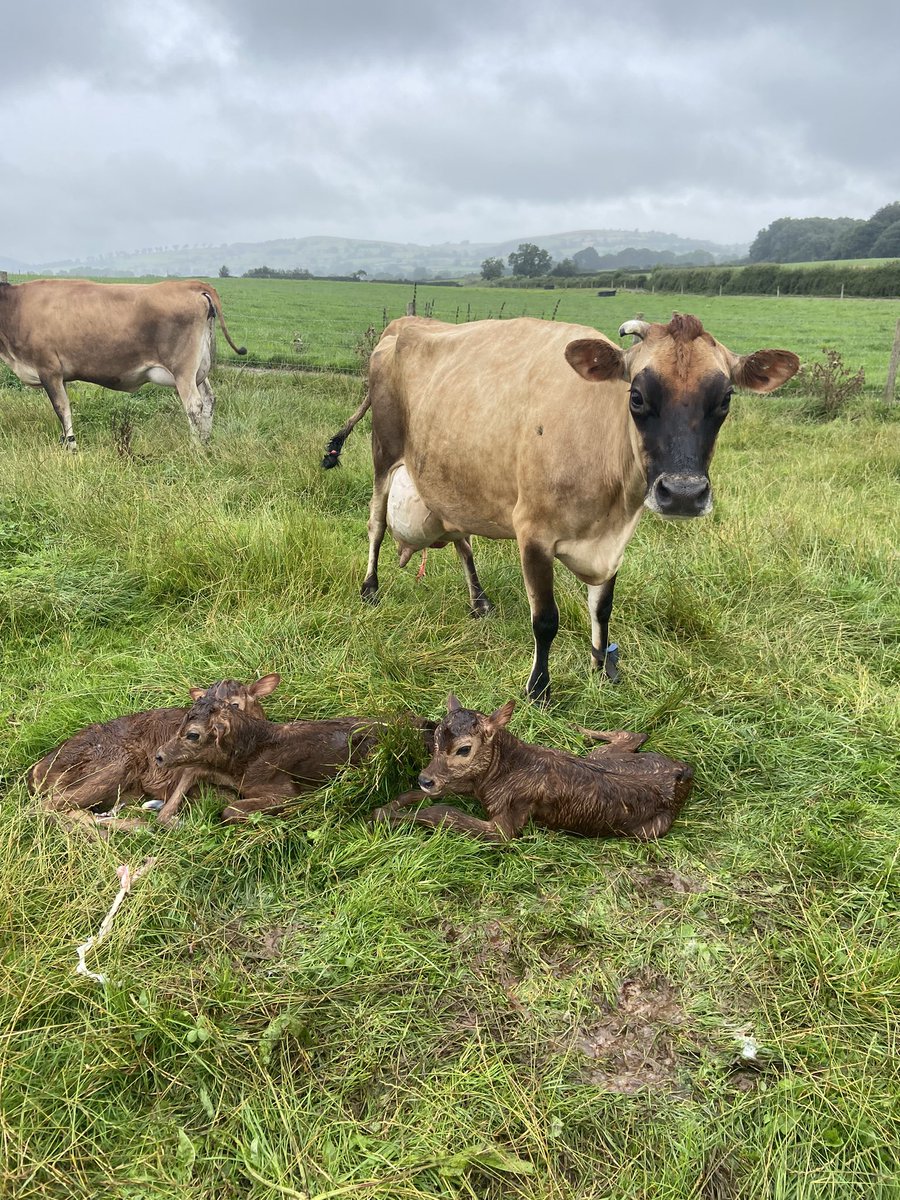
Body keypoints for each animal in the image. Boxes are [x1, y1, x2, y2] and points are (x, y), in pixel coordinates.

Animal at [0, 278, 247, 448]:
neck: (16, 308)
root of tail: (191, 284)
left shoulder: (48, 369)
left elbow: (62, 408)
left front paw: (72, 447)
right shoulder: (58, 374)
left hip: (183, 371)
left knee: (194, 405)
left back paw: (194, 449)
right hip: (199, 371)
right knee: (209, 400)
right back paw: (206, 443)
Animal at [326, 314, 801, 700]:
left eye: (725, 400)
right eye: (637, 396)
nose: (683, 493)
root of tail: (400, 325)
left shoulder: (614, 542)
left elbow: (602, 608)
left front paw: (601, 667)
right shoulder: (533, 533)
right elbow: (546, 620)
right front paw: (539, 689)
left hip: (451, 479)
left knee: (461, 537)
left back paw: (479, 600)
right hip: (384, 452)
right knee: (375, 524)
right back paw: (370, 588)